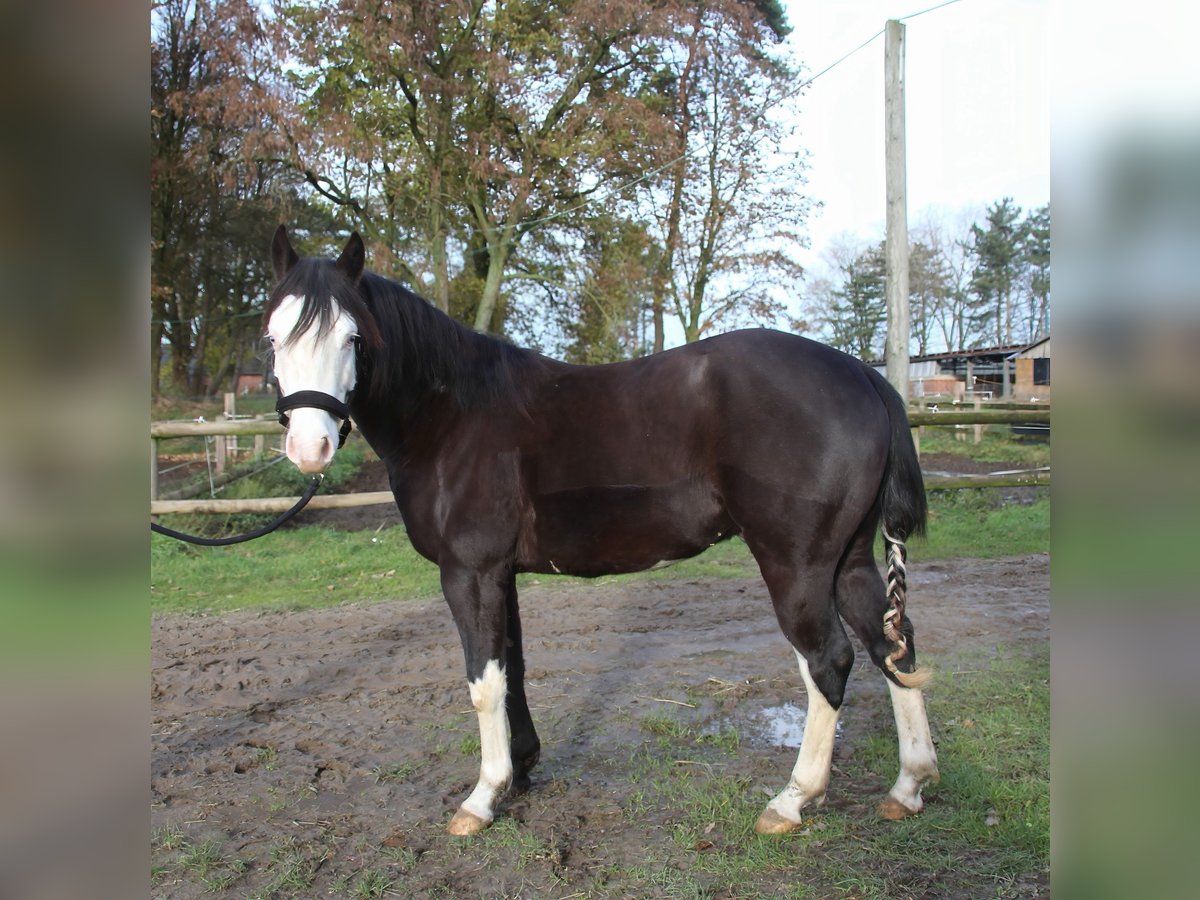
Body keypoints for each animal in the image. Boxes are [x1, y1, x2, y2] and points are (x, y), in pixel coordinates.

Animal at [264, 226, 939, 836]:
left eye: (352, 336)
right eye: (273, 336)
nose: (309, 447)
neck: (453, 414)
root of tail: (861, 374)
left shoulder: (468, 573)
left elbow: (483, 682)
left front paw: (483, 797)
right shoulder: (500, 575)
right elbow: (512, 670)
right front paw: (521, 773)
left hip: (796, 565)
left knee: (829, 660)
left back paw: (793, 799)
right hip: (848, 560)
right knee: (892, 643)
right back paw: (907, 786)